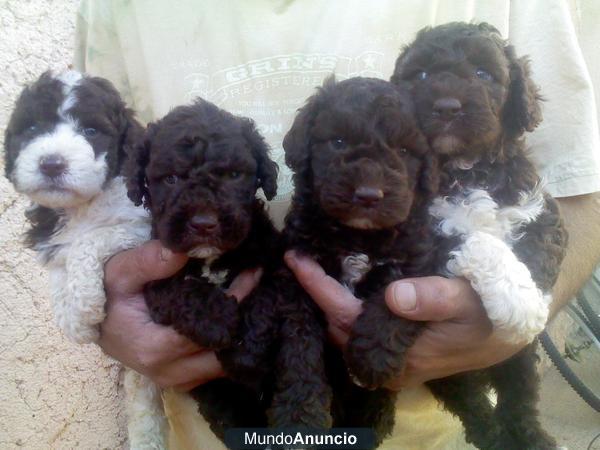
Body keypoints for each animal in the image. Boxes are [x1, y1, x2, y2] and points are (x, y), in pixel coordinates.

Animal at [2, 70, 164, 450]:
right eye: (33, 128)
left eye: (91, 131)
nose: (51, 163)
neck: (81, 206)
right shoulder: (55, 239)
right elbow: (59, 266)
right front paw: (70, 318)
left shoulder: (141, 227)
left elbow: (88, 242)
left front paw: (85, 307)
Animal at [123, 96, 282, 438]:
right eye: (171, 178)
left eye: (234, 175)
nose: (204, 224)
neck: (211, 258)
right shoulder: (157, 277)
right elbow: (182, 291)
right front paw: (216, 320)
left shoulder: (274, 259)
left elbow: (266, 296)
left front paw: (245, 349)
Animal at [282, 75, 440, 444]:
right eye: (338, 142)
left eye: (403, 151)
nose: (369, 196)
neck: (357, 236)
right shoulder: (297, 274)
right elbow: (299, 347)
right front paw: (300, 417)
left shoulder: (419, 260)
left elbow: (396, 295)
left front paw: (373, 357)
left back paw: (376, 417)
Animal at [392, 22, 568, 450]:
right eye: (421, 75)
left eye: (483, 73)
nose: (446, 107)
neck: (466, 167)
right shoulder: (420, 241)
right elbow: (477, 240)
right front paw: (519, 303)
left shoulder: (541, 211)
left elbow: (540, 248)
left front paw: (532, 299)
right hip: (450, 372)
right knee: (467, 396)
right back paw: (494, 434)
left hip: (513, 366)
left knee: (520, 389)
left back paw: (531, 436)